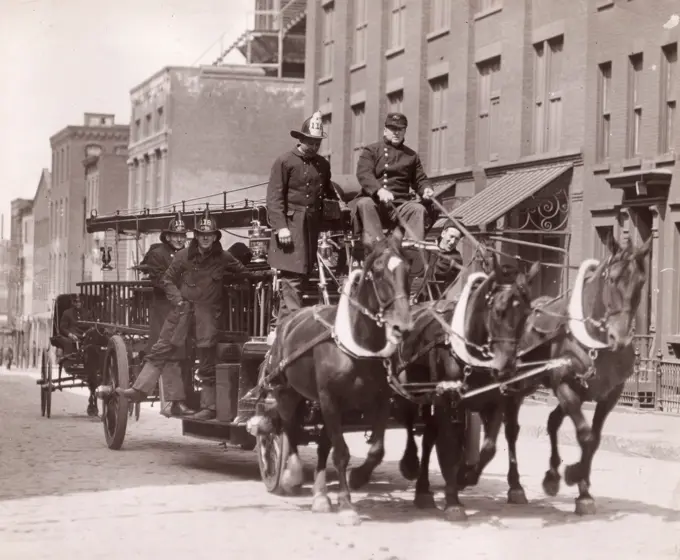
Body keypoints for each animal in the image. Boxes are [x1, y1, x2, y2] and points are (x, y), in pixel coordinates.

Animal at [248, 231, 412, 524]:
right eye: (377, 272)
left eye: (408, 269)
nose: (402, 327)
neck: (356, 346)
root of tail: (288, 320)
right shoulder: (330, 399)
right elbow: (341, 453)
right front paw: (346, 506)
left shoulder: (380, 401)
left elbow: (375, 450)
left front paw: (358, 478)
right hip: (287, 392)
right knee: (288, 427)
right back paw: (292, 474)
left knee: (322, 443)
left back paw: (321, 495)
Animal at [396, 256, 540, 520]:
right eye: (498, 311)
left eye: (526, 314)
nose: (507, 367)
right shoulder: (446, 400)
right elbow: (449, 447)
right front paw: (453, 500)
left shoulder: (496, 401)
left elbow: (489, 448)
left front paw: (466, 475)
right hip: (416, 390)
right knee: (417, 426)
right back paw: (414, 472)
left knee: (431, 435)